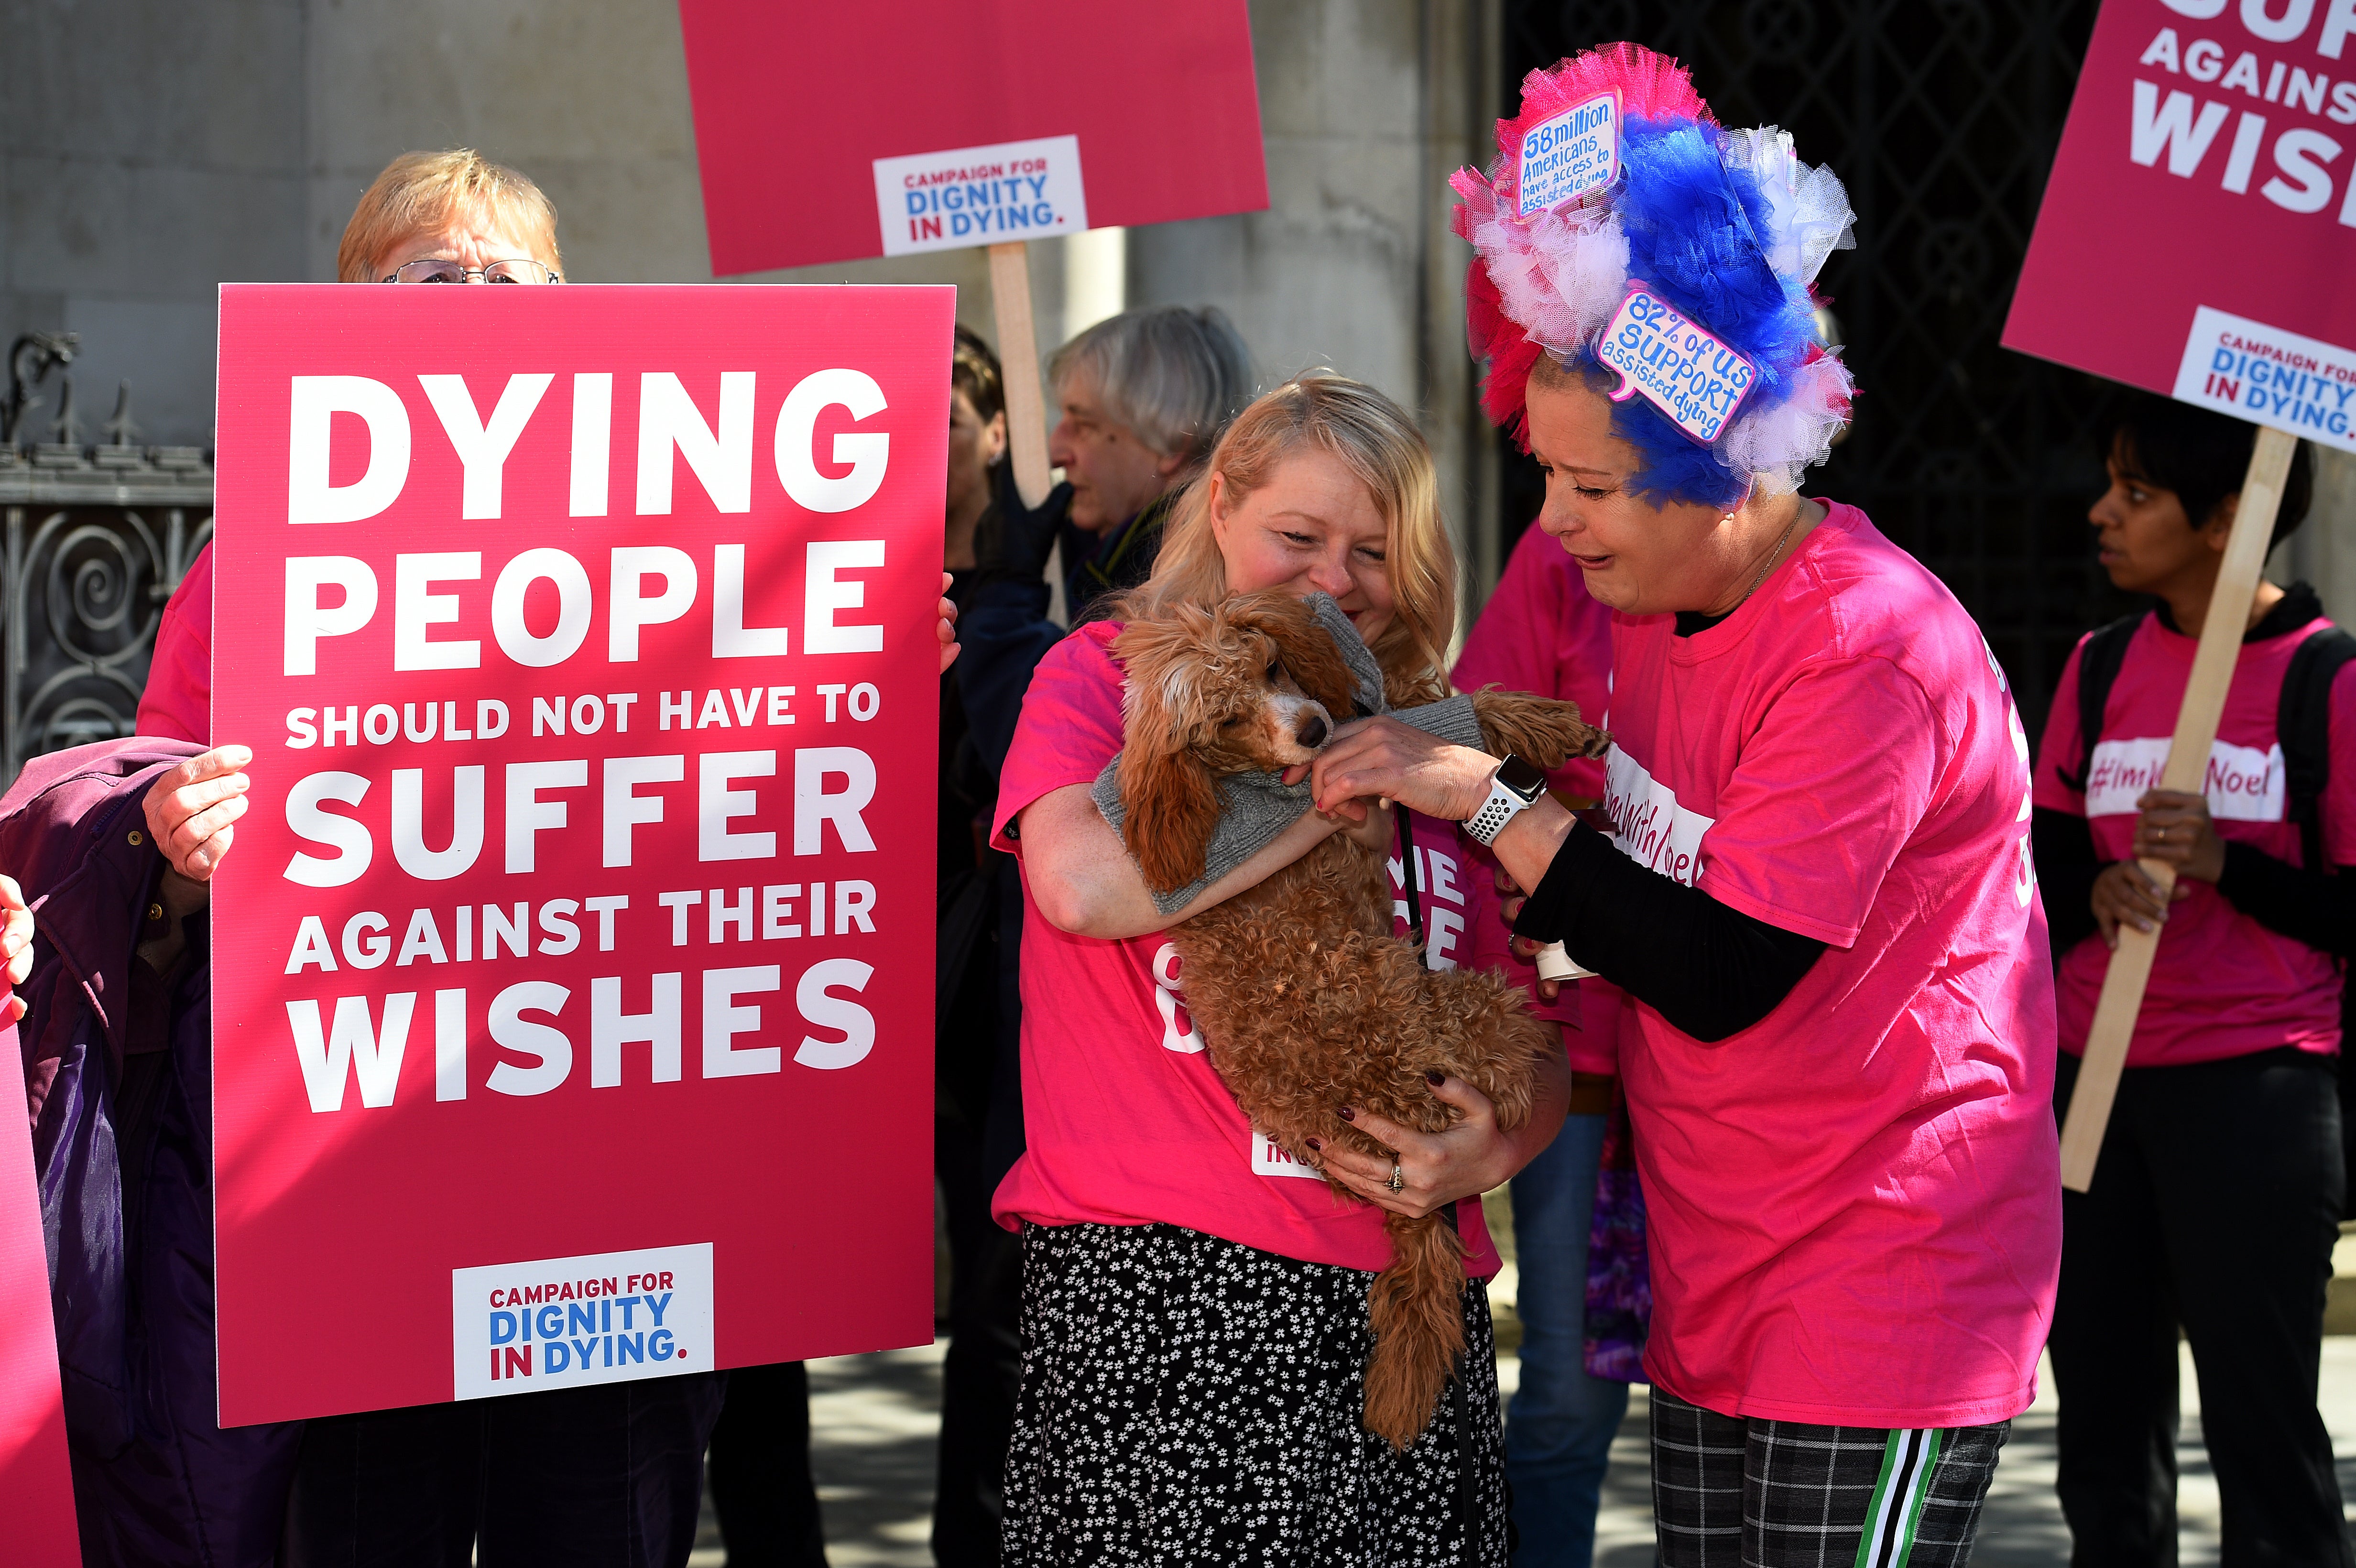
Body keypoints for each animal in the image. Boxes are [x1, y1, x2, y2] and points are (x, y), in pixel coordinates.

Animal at [1112, 593, 1611, 1450]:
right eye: (1224, 720)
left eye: (1270, 664)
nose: (1313, 730)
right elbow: (1440, 721)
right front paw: (1533, 726)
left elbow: (1405, 706)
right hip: (1464, 1011)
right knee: (1510, 1059)